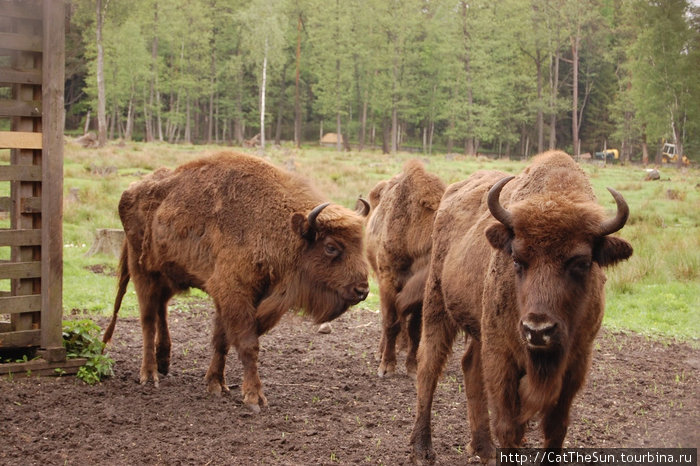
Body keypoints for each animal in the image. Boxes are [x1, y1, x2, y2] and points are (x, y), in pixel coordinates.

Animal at [104, 151, 372, 410]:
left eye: (360, 243)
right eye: (331, 247)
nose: (362, 290)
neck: (276, 227)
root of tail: (130, 191)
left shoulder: (235, 297)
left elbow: (221, 340)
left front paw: (216, 384)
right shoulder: (234, 292)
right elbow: (247, 344)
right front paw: (254, 398)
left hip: (168, 275)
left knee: (161, 310)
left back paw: (164, 362)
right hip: (143, 271)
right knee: (148, 319)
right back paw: (149, 375)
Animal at [364, 160, 446, 378]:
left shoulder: (418, 293)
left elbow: (415, 329)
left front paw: (412, 367)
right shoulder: (388, 280)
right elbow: (391, 323)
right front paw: (386, 366)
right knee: (388, 320)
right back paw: (381, 353)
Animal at [410, 152, 636, 462]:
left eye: (581, 262)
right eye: (517, 259)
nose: (538, 330)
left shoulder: (575, 364)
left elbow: (556, 427)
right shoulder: (502, 356)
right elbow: (508, 427)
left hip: (479, 327)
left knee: (470, 366)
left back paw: (483, 448)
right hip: (437, 304)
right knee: (428, 366)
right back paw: (423, 449)